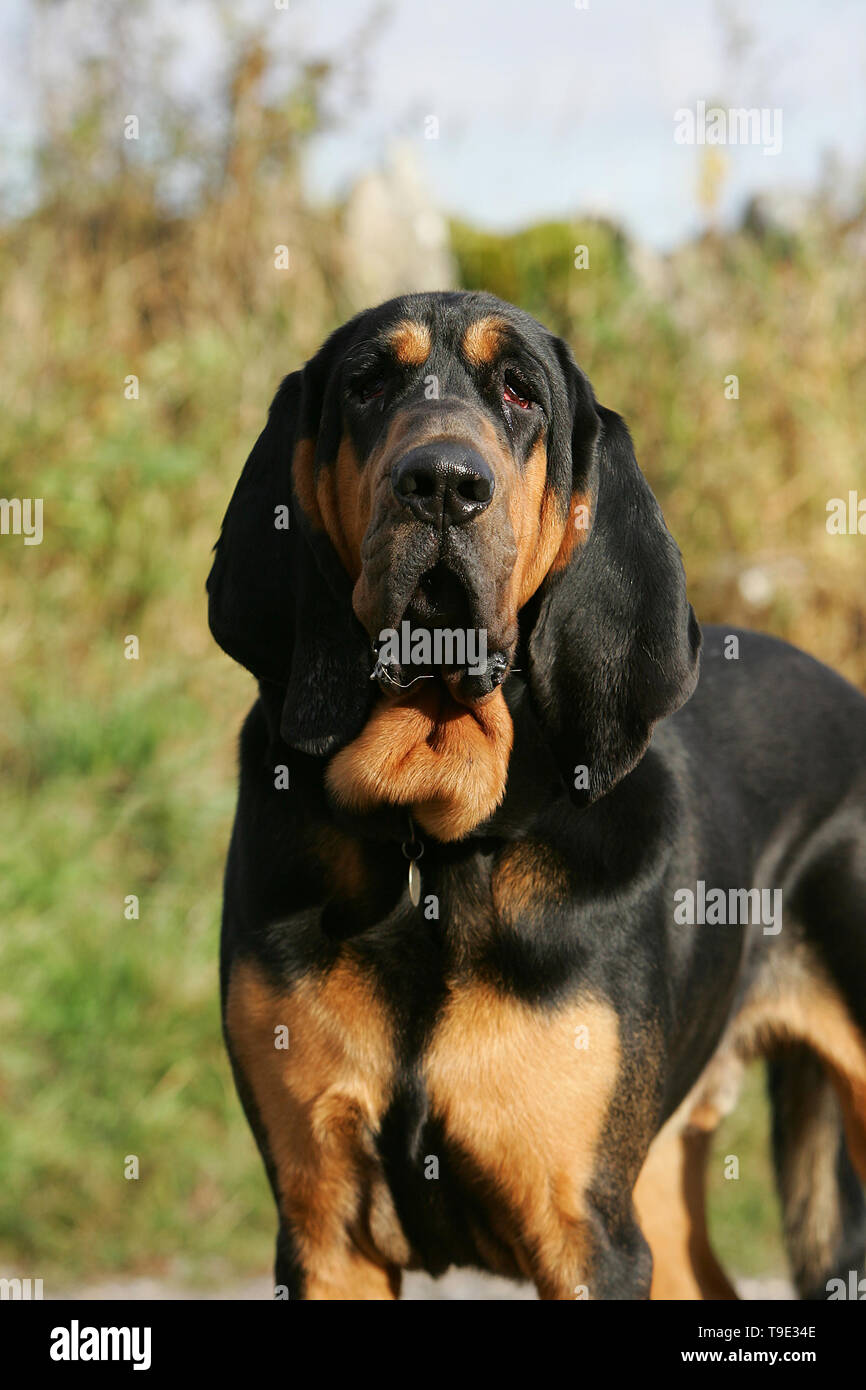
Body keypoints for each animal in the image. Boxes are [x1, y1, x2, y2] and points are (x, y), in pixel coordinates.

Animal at [209, 287, 866, 1295]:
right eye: (367, 384)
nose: (442, 483)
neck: (430, 841)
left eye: (520, 391)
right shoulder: (324, 1227)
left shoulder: (585, 1232)